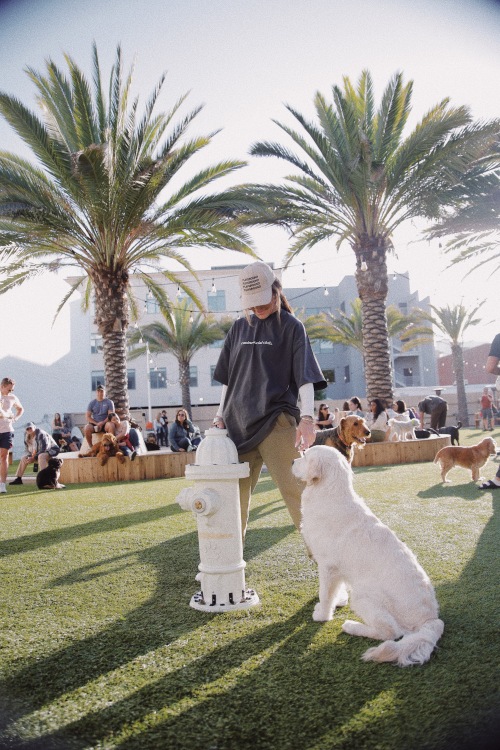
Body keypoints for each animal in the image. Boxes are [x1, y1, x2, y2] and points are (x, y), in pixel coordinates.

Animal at [292, 450, 444, 668]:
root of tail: (431, 619)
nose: (291, 461)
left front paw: (322, 615)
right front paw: (334, 603)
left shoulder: (327, 566)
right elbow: (334, 592)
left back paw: (351, 626)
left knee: (390, 632)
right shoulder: (337, 569)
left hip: (362, 595)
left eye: (304, 455)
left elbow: (325, 594)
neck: (328, 492)